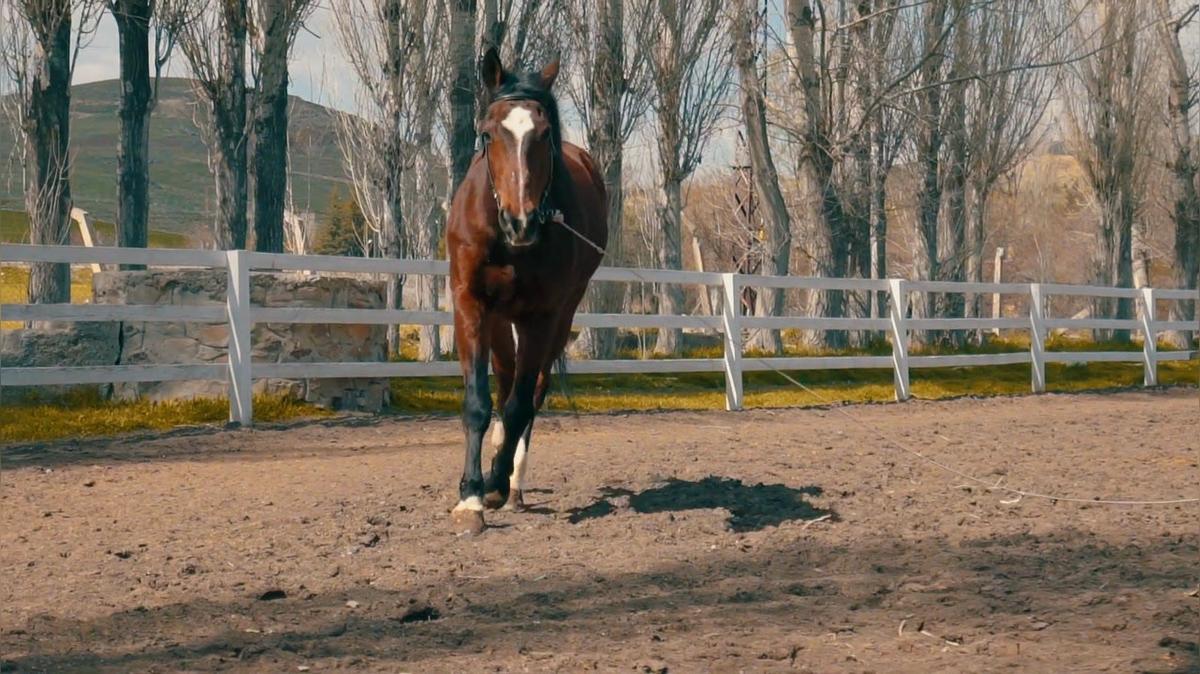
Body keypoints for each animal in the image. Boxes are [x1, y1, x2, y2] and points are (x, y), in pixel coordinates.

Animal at [444, 48, 608, 535]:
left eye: (545, 132)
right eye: (487, 132)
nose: (522, 221)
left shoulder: (542, 316)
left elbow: (520, 405)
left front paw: (495, 484)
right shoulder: (470, 304)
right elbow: (479, 402)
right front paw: (470, 496)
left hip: (559, 316)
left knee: (530, 391)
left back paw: (512, 483)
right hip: (501, 319)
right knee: (504, 381)